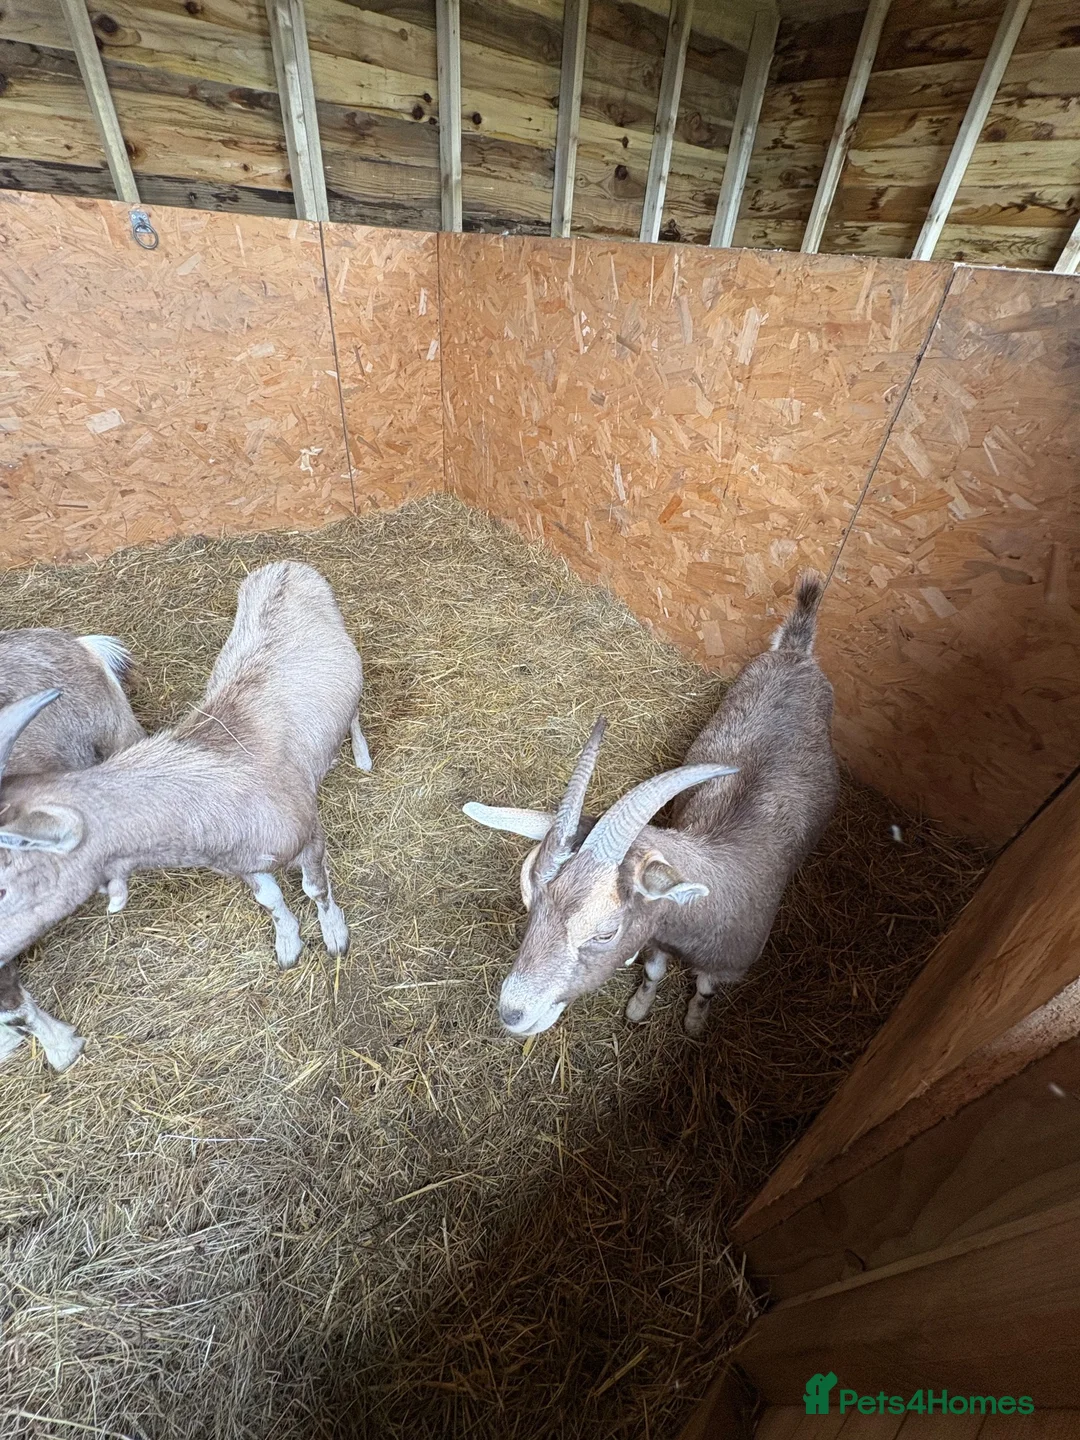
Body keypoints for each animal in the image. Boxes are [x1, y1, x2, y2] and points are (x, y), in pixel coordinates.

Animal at [464, 572, 837, 1038]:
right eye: (530, 899)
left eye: (606, 932)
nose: (513, 1013)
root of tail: (794, 653)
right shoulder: (656, 938)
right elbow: (654, 972)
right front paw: (639, 1007)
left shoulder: (727, 966)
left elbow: (705, 988)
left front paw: (694, 1021)